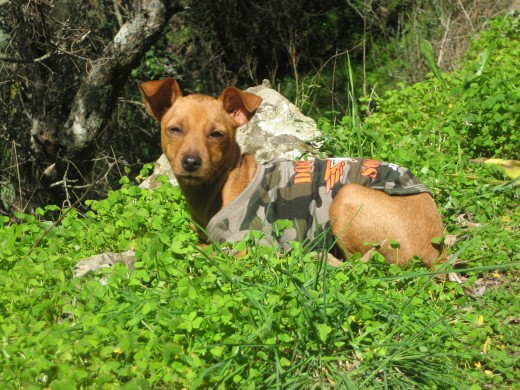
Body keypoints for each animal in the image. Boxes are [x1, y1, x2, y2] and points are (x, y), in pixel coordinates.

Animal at [140, 79, 444, 268]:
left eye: (217, 134)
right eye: (174, 129)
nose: (191, 162)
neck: (222, 188)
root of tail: (438, 248)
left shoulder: (251, 245)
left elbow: (210, 253)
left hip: (347, 197)